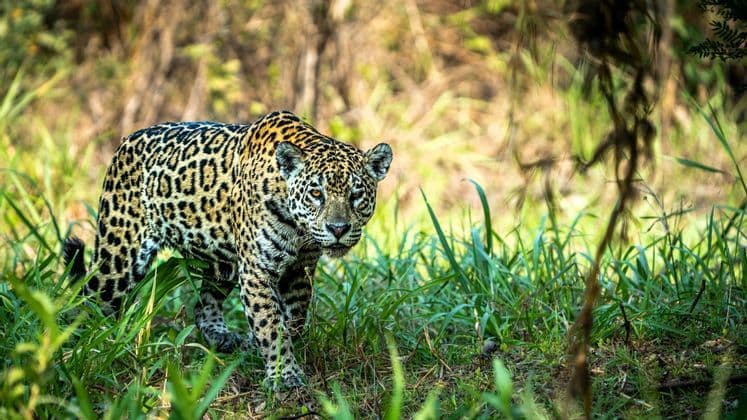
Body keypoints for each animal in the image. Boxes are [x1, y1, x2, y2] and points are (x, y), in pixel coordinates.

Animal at [63, 110, 392, 389]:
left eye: (356, 195)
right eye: (316, 193)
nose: (338, 229)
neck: (298, 226)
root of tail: (126, 141)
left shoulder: (300, 270)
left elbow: (293, 320)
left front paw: (263, 350)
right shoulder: (258, 270)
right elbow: (271, 324)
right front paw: (283, 376)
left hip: (224, 263)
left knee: (202, 306)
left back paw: (224, 338)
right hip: (118, 258)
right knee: (89, 301)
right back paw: (83, 349)